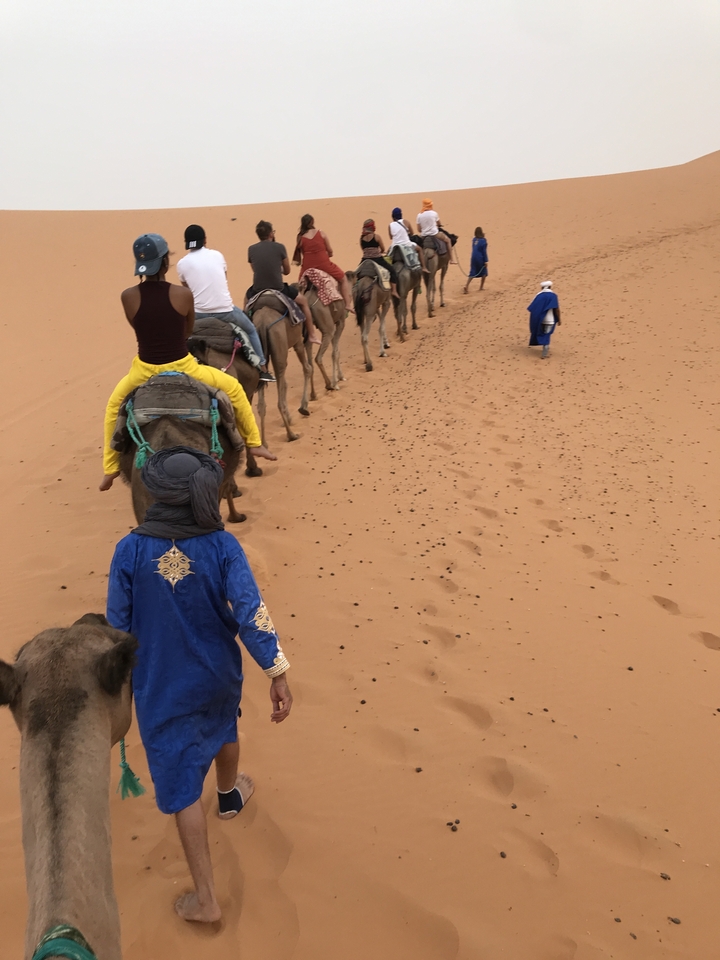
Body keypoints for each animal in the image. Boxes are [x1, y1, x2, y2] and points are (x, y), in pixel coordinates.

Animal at [251, 294, 313, 443]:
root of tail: (262, 323)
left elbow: (284, 384)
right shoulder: (297, 341)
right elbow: (307, 368)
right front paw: (303, 407)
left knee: (261, 404)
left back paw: (264, 443)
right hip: (279, 343)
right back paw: (291, 435)